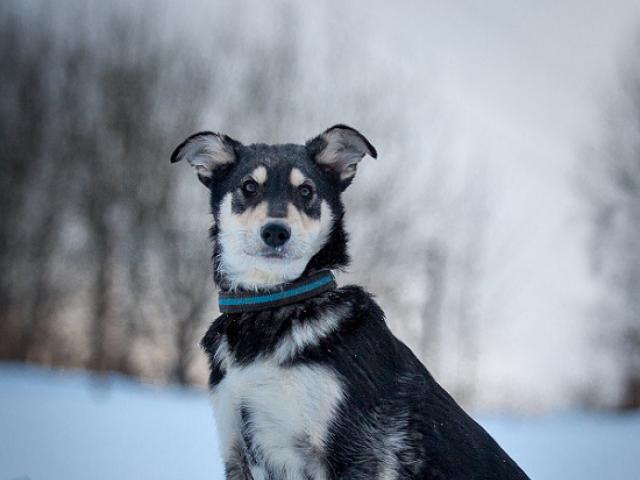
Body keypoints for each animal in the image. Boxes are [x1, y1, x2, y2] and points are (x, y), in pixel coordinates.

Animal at [171, 125, 528, 478]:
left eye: (306, 191)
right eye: (249, 187)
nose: (275, 232)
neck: (273, 304)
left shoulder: (353, 451)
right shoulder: (237, 449)